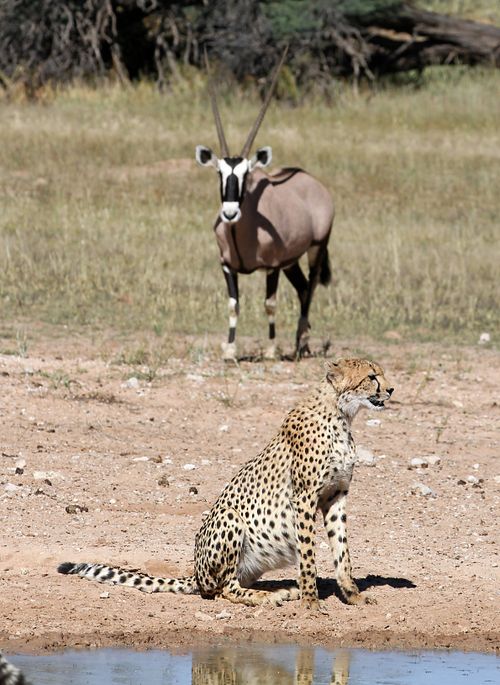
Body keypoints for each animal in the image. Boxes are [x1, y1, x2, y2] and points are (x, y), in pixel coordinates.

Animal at [58, 357, 393, 610]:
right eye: (371, 376)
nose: (391, 389)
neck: (341, 415)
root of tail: (195, 572)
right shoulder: (304, 497)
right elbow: (308, 554)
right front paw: (311, 601)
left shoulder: (336, 495)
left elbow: (342, 551)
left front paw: (352, 595)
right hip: (230, 518)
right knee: (224, 589)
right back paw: (269, 597)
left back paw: (279, 592)